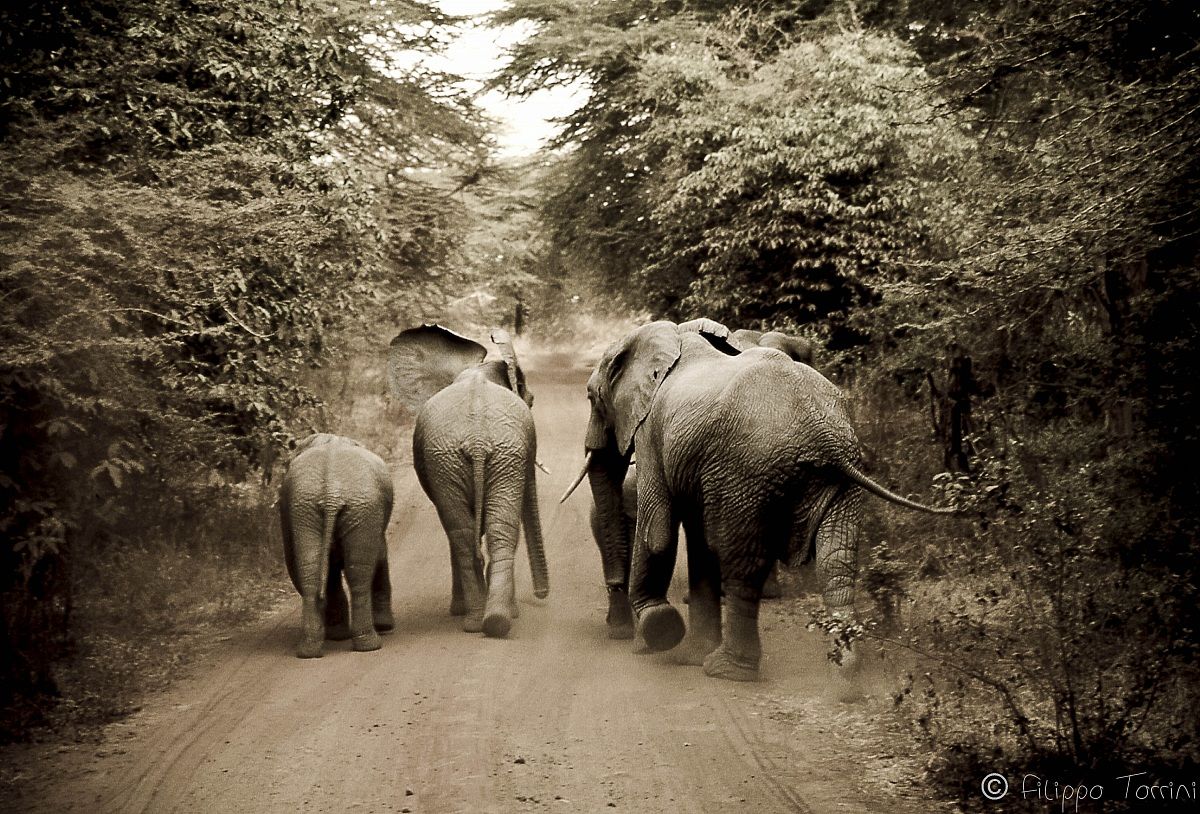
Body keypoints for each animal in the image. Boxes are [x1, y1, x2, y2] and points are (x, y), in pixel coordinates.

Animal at [279, 433, 394, 659]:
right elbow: (379, 556)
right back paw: (366, 643)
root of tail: (331, 491)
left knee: (311, 570)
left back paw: (311, 650)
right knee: (358, 574)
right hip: (357, 507)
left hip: (312, 509)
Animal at [389, 324, 549, 638]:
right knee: (479, 531)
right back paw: (491, 619)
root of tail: (477, 440)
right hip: (473, 456)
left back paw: (486, 620)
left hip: (476, 456)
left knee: (468, 532)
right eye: (532, 402)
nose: (542, 595)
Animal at [563, 318, 951, 681]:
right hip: (834, 478)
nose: (618, 627)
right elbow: (697, 545)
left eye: (592, 398)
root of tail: (822, 434)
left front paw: (660, 631)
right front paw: (688, 653)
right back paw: (845, 680)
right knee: (837, 561)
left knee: (743, 565)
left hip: (748, 472)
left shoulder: (653, 435)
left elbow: (657, 531)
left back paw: (727, 669)